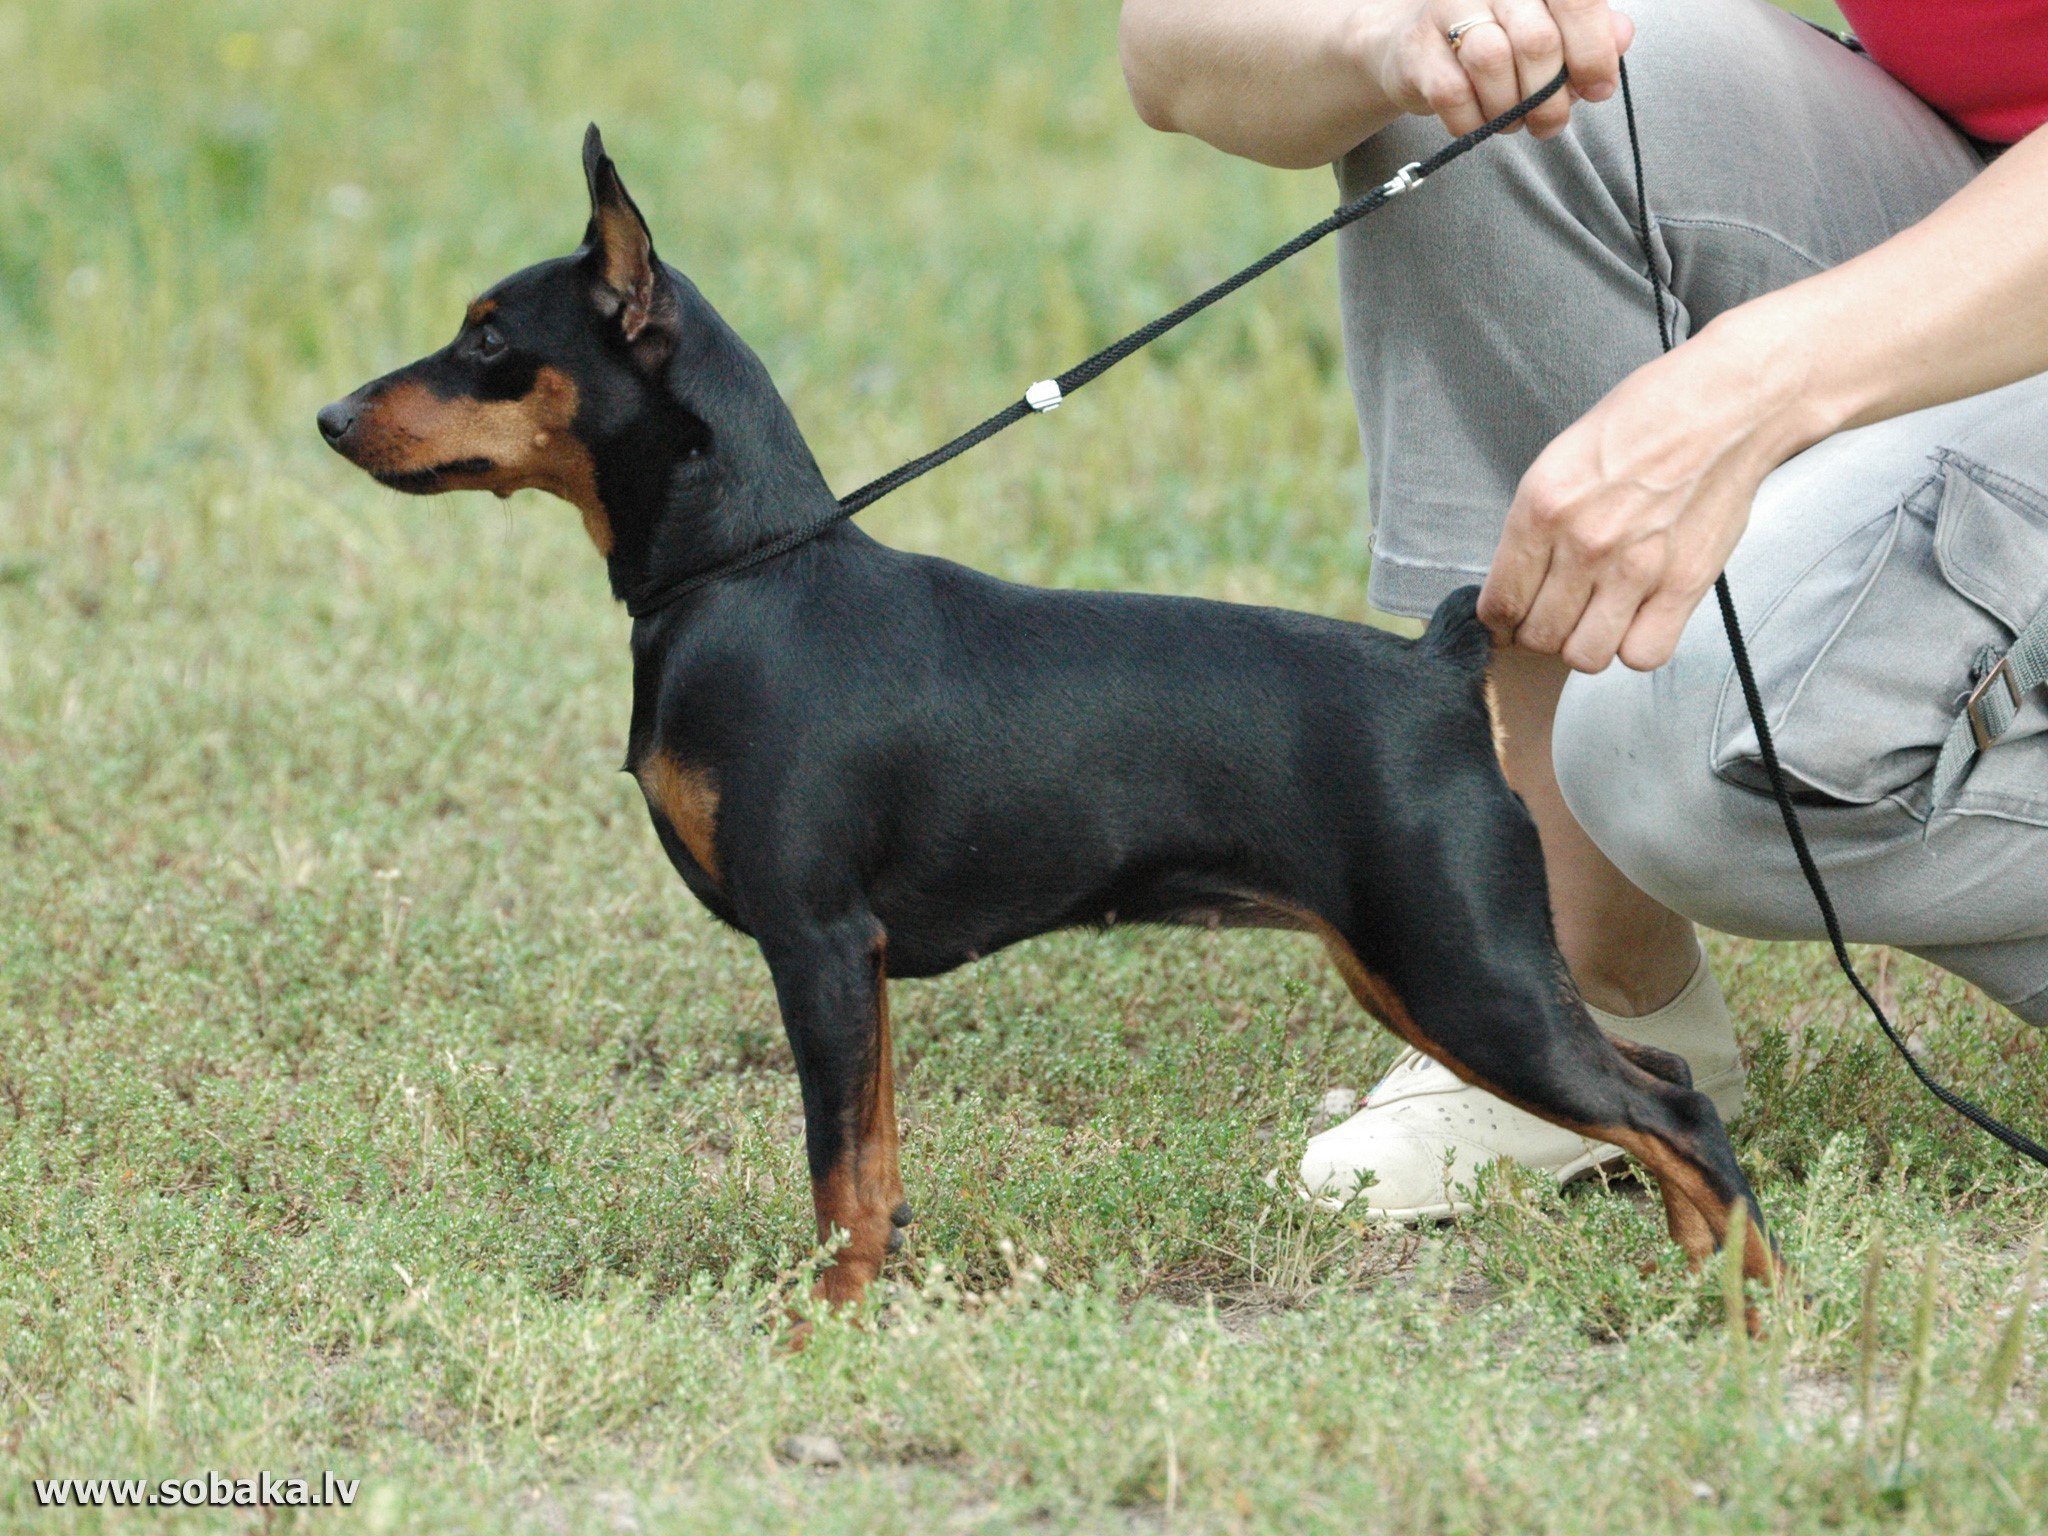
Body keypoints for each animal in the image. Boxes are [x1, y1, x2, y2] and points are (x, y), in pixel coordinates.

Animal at [319, 129, 1777, 1310]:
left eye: (489, 340)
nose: (330, 415)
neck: (750, 573)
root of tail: (1436, 662)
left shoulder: (815, 942)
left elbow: (833, 1170)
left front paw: (817, 1327)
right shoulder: (854, 967)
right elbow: (873, 1163)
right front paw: (862, 1298)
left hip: (1462, 972)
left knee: (1679, 1113)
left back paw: (1750, 1318)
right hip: (1425, 973)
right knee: (1664, 1093)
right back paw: (1705, 1282)